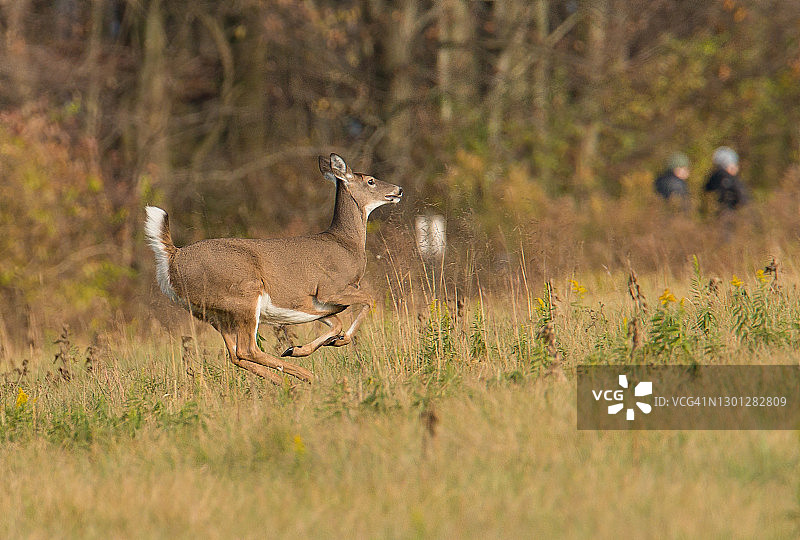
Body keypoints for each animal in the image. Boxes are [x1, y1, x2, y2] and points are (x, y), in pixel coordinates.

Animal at [144, 153, 403, 385]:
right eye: (370, 180)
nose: (398, 189)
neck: (347, 244)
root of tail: (172, 257)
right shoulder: (330, 289)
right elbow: (369, 300)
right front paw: (330, 343)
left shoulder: (316, 305)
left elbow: (337, 323)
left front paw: (302, 347)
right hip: (244, 296)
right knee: (247, 349)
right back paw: (305, 377)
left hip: (214, 314)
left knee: (235, 354)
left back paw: (286, 380)